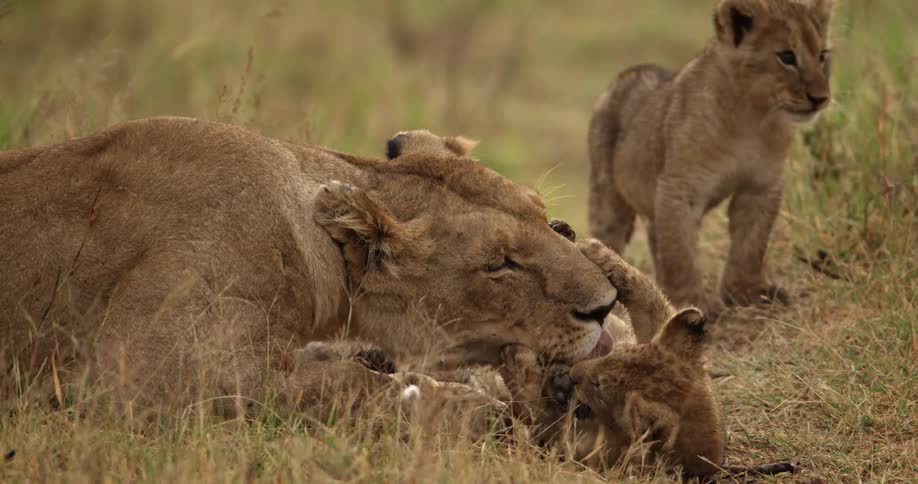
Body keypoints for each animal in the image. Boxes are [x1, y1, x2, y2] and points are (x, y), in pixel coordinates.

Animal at [0, 117, 618, 418]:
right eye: (500, 265)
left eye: (547, 219)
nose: (606, 305)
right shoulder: (131, 373)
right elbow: (350, 383)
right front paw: (472, 410)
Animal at [588, 0, 835, 315]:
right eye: (787, 56)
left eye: (822, 55)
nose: (821, 98)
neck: (752, 116)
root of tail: (626, 74)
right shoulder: (680, 189)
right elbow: (681, 254)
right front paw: (688, 303)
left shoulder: (761, 186)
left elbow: (750, 244)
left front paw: (747, 293)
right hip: (609, 197)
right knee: (609, 235)